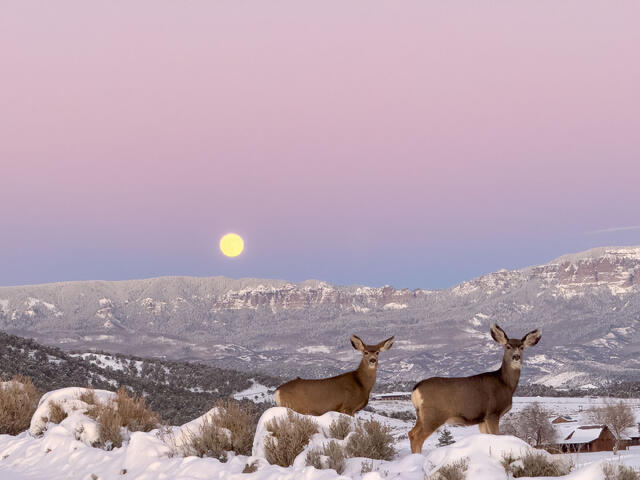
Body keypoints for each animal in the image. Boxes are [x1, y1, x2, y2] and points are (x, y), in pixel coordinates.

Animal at [408, 323, 541, 454]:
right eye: (508, 346)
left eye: (522, 347)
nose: (516, 357)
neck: (505, 385)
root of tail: (416, 389)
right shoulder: (492, 412)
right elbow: (496, 435)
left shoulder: (482, 420)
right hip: (433, 415)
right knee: (418, 437)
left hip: (421, 414)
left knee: (411, 433)